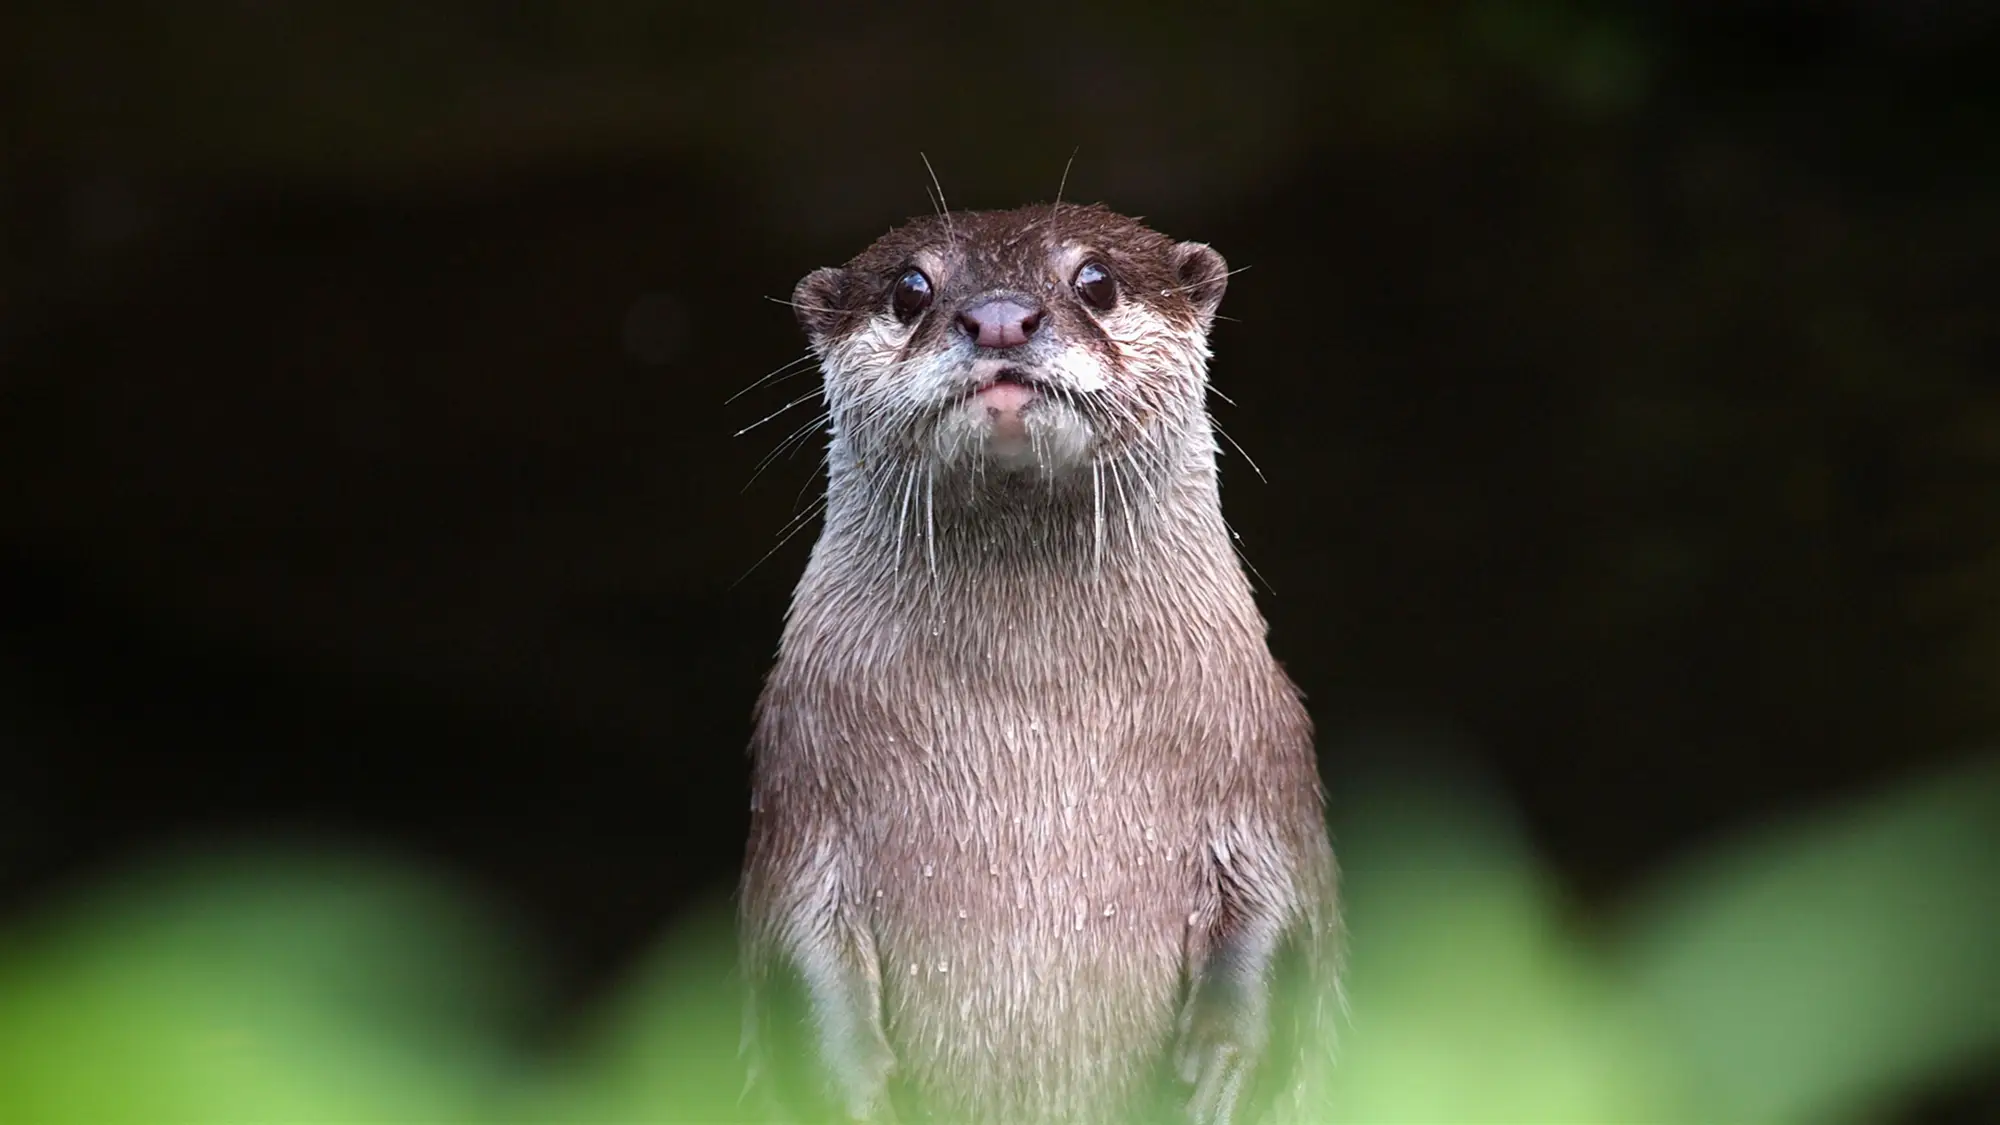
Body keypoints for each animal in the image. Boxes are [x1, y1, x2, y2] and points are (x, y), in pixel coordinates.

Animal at [739, 202, 1340, 1125]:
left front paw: (1225, 1067)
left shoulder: (1263, 766)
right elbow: (796, 956)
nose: (998, 317)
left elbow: (1281, 914)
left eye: (1096, 279)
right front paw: (852, 1095)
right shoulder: (801, 785)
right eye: (911, 288)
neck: (1034, 723)